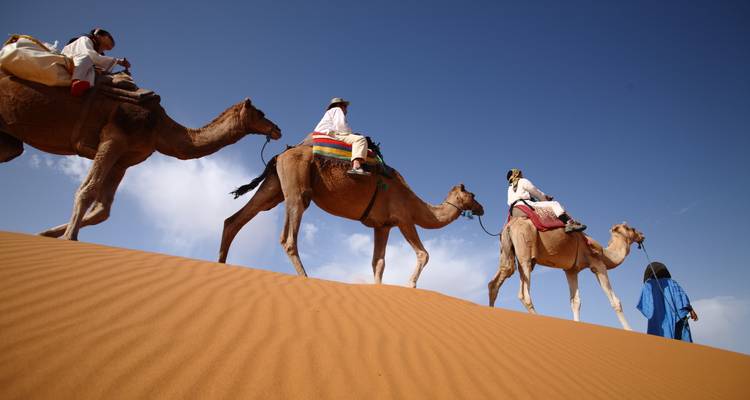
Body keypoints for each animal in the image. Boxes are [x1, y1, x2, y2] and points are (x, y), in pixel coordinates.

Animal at [0, 74, 281, 240]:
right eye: (260, 113)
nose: (277, 129)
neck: (159, 127)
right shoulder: (113, 138)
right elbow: (87, 190)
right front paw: (69, 238)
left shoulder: (124, 160)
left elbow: (102, 210)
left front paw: (45, 233)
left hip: (10, 139)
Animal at [218, 145, 485, 287]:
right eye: (472, 194)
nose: (482, 208)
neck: (415, 203)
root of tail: (280, 155)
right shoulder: (404, 219)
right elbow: (423, 253)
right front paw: (411, 285)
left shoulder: (383, 226)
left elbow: (378, 262)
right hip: (296, 187)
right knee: (288, 237)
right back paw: (307, 278)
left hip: (274, 187)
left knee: (235, 219)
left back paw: (220, 264)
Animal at [487, 211, 644, 330]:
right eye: (631, 228)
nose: (642, 235)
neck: (606, 254)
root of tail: (509, 226)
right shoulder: (598, 264)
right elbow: (615, 301)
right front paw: (630, 331)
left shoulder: (571, 270)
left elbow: (575, 301)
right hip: (525, 252)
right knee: (523, 294)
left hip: (507, 250)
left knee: (497, 280)